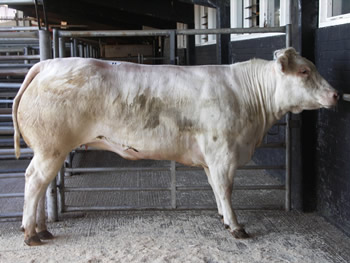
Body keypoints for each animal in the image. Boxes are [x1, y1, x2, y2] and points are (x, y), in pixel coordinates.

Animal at [12, 47, 338, 245]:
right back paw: (31, 234)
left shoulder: (210, 158)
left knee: (41, 186)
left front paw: (223, 218)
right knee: (34, 181)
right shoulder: (223, 153)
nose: (336, 94)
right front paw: (236, 226)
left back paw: (41, 229)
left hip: (51, 150)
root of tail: (47, 64)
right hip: (51, 148)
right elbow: (226, 189)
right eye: (304, 72)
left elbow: (216, 189)